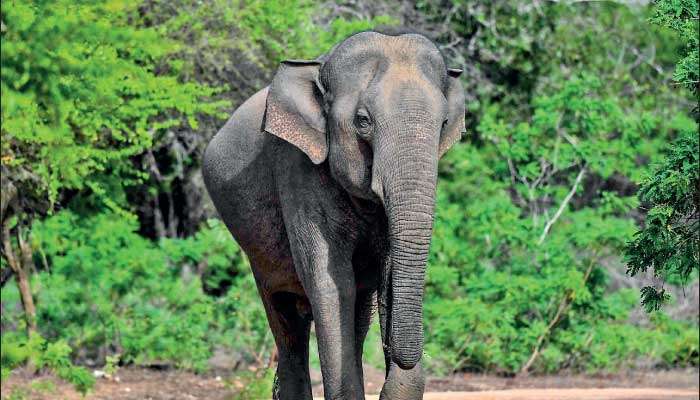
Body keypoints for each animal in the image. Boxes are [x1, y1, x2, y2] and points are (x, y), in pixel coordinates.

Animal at [202, 29, 465, 400]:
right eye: (363, 122)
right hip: (257, 255)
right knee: (286, 322)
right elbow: (331, 283)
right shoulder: (297, 169)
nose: (399, 358)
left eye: (443, 124)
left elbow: (374, 283)